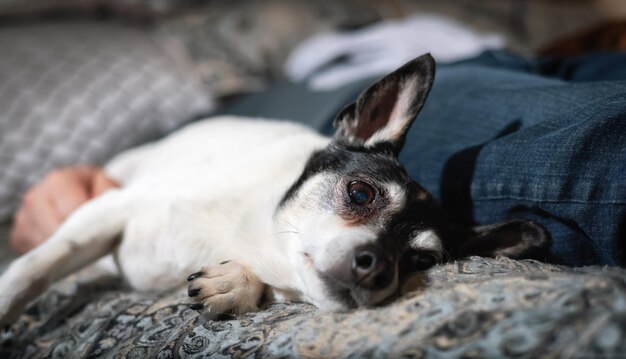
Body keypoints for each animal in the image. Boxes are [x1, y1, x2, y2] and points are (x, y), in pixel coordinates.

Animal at [0, 54, 544, 326]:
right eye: (361, 194)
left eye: (420, 261)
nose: (377, 269)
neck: (256, 238)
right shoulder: (108, 208)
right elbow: (33, 270)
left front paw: (234, 283)